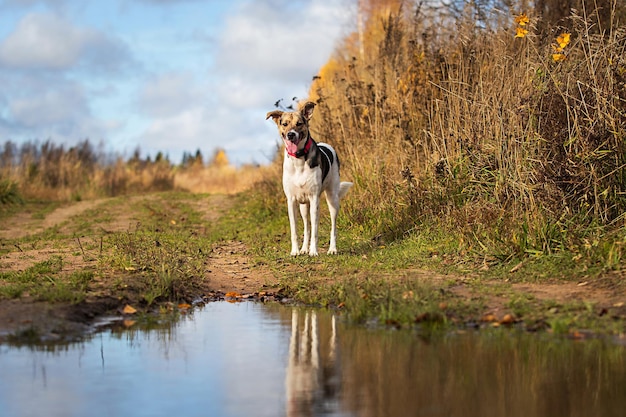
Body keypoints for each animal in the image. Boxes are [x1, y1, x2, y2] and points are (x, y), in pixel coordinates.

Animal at [264, 102, 352, 255]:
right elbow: (295, 230)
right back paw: (304, 248)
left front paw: (314, 251)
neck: (299, 158)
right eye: (285, 124)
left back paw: (332, 249)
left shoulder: (314, 198)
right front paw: (295, 251)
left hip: (332, 199)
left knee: (333, 226)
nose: (290, 134)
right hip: (303, 206)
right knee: (306, 225)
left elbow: (315, 231)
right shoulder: (291, 201)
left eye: (299, 123)